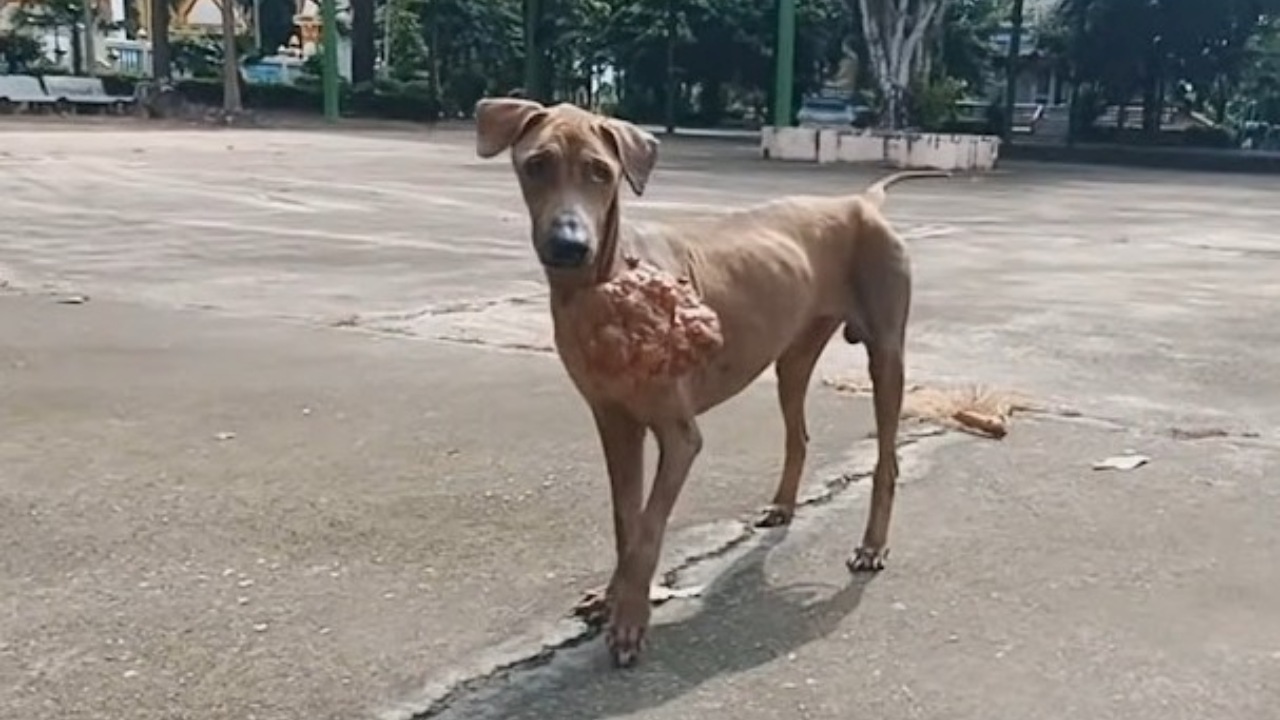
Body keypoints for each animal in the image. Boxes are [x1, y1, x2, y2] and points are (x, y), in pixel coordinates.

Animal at [476, 98, 947, 666]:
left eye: (601, 172)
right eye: (536, 164)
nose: (570, 245)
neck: (603, 288)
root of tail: (860, 202)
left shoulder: (680, 436)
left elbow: (649, 529)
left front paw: (630, 620)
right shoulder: (614, 423)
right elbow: (626, 521)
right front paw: (613, 598)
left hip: (887, 353)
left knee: (887, 458)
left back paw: (872, 545)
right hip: (792, 357)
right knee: (799, 432)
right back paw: (783, 505)